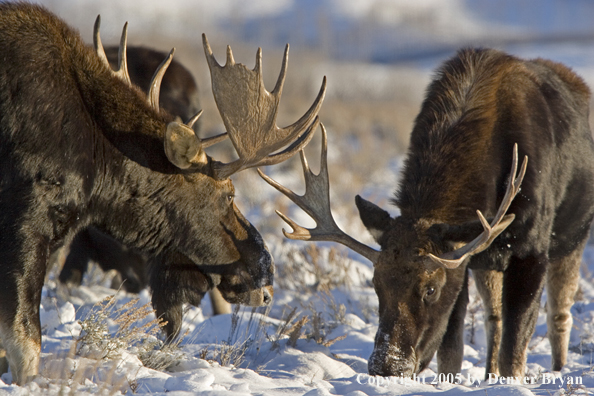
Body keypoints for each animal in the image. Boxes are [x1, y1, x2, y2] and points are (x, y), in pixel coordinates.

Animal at [262, 48, 592, 378]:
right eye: (376, 284)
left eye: (430, 289)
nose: (387, 365)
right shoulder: (464, 261)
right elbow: (451, 350)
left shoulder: (530, 250)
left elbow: (515, 349)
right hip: (488, 263)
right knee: (493, 317)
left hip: (572, 239)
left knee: (559, 316)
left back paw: (558, 368)